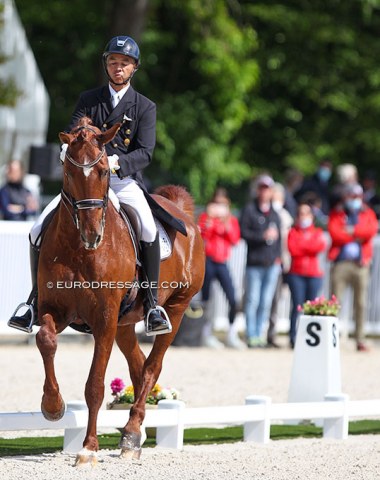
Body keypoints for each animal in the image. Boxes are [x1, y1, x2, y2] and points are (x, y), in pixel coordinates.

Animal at [36, 116, 205, 464]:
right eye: (68, 172)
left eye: (104, 171)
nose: (92, 235)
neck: (79, 250)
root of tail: (182, 212)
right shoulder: (55, 308)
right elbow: (45, 339)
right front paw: (53, 406)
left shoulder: (104, 318)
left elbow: (95, 386)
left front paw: (88, 449)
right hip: (125, 322)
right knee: (139, 367)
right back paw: (135, 433)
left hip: (176, 309)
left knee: (153, 366)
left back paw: (130, 434)